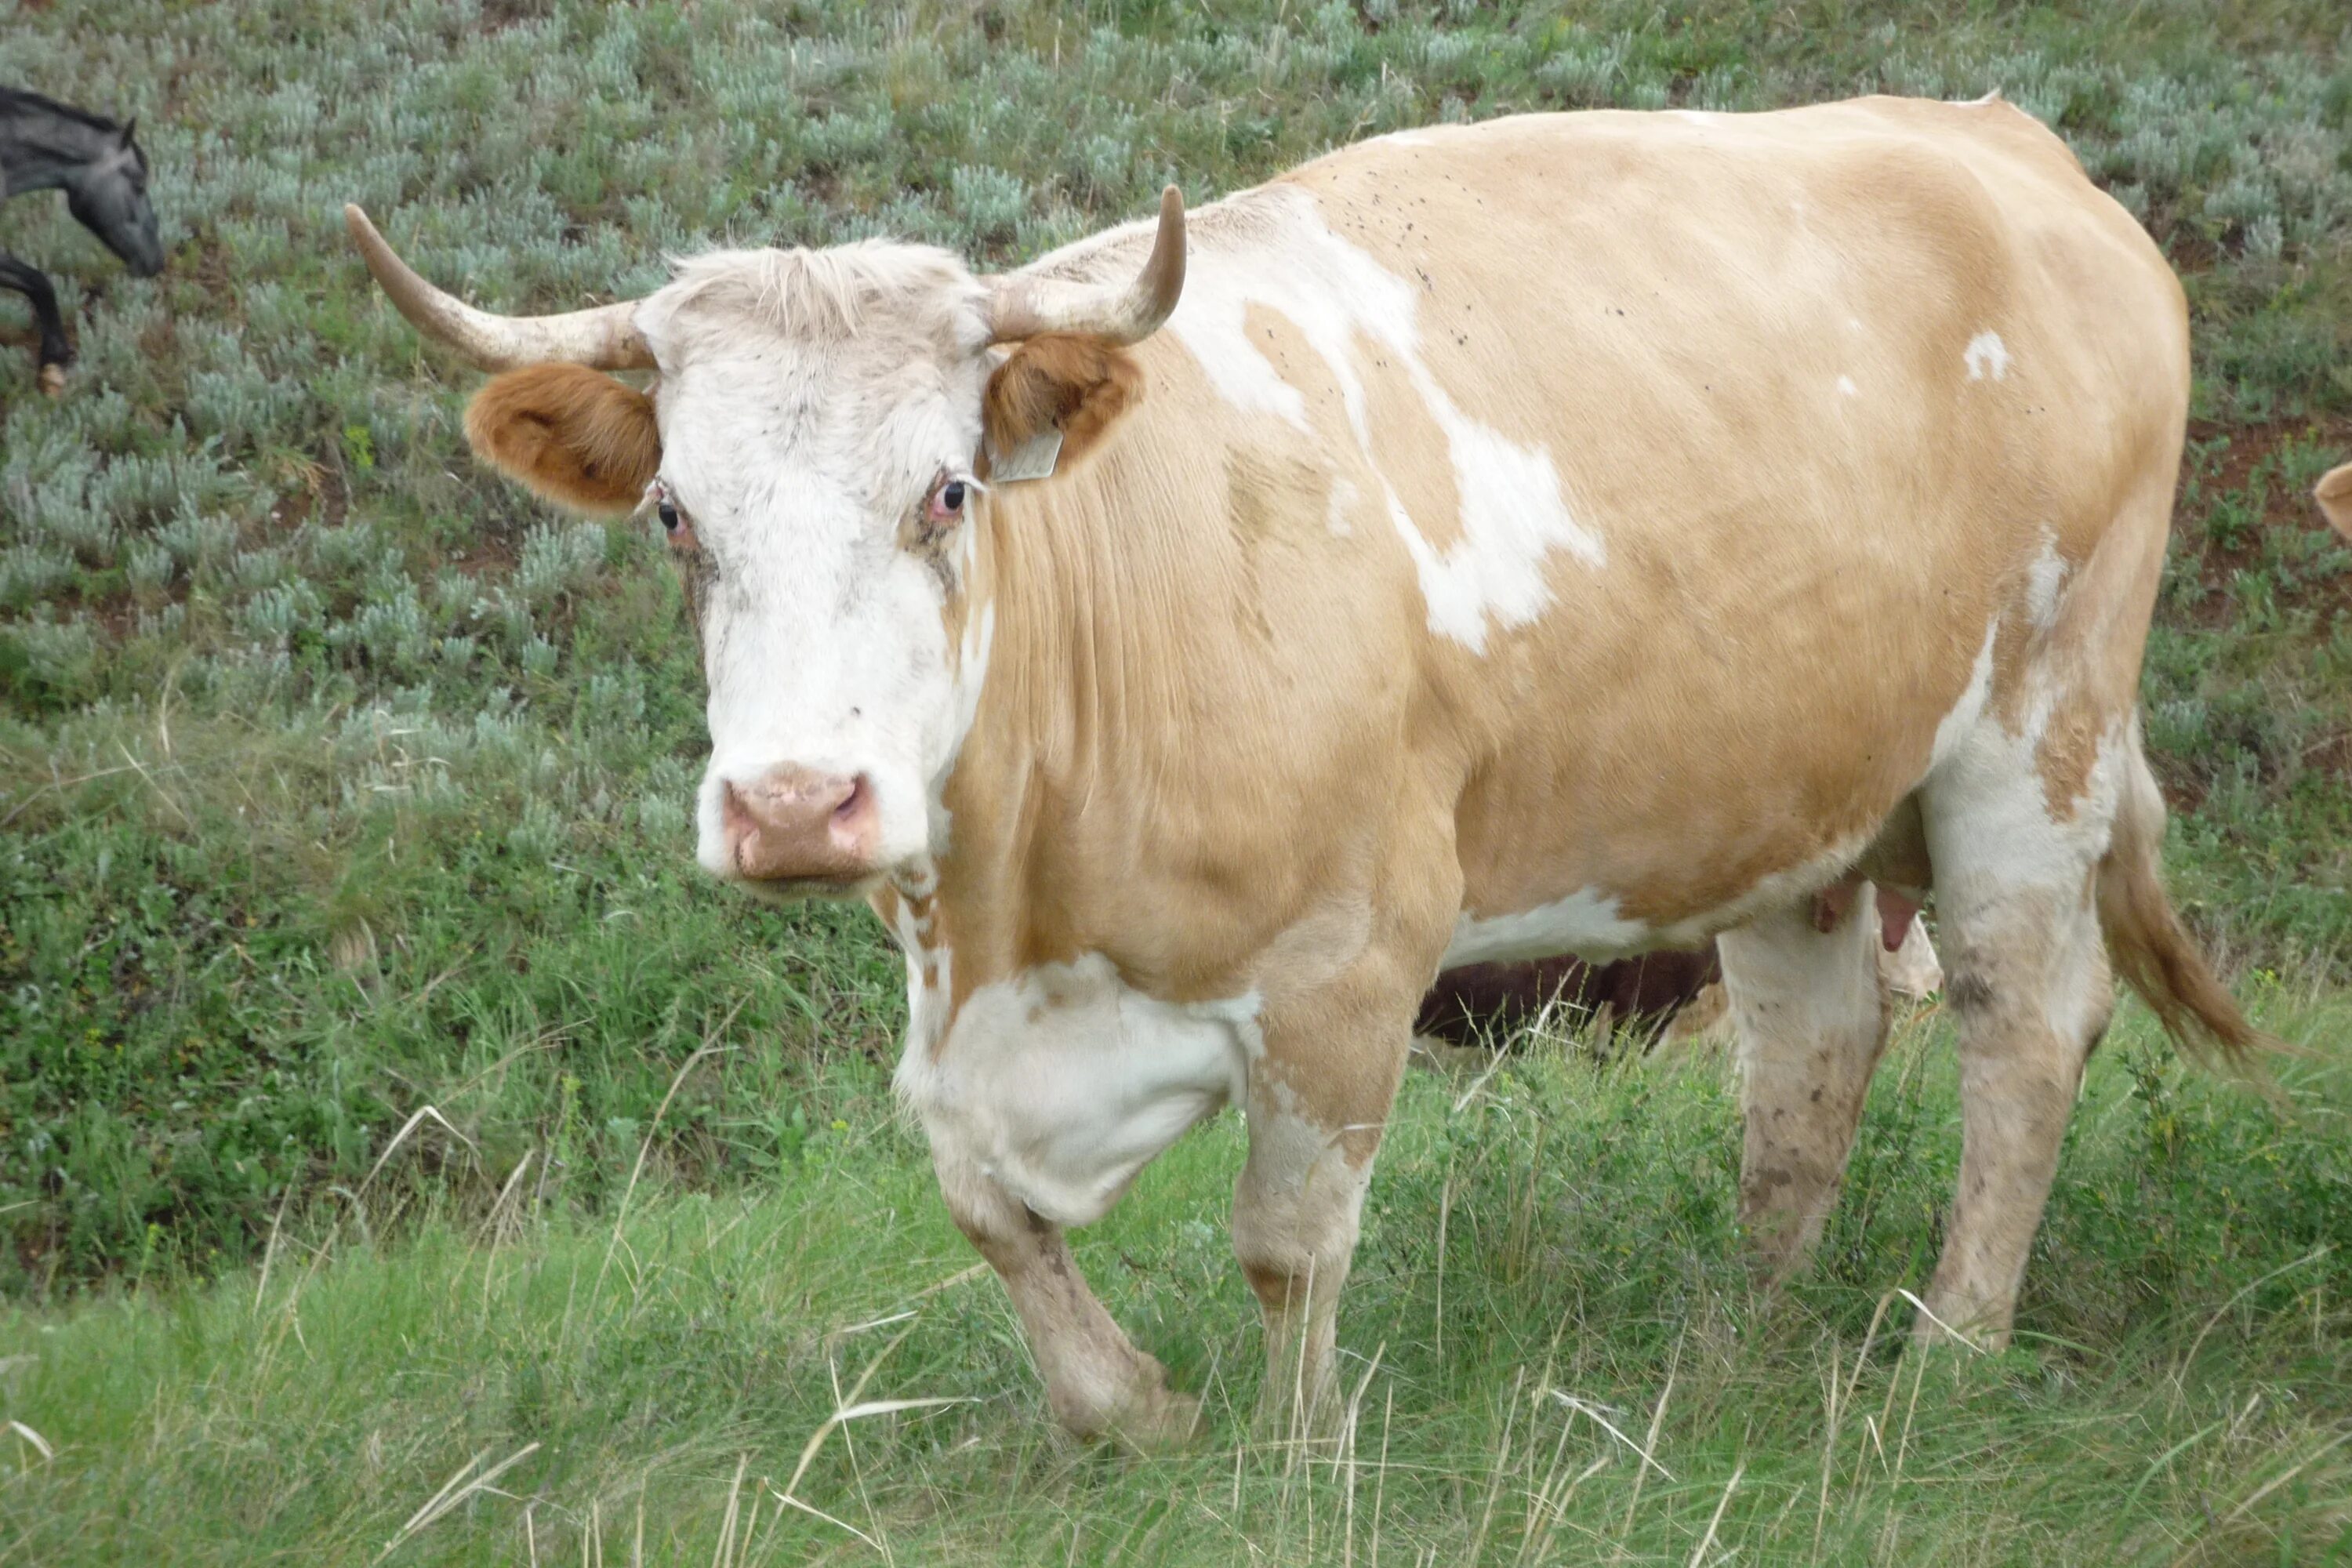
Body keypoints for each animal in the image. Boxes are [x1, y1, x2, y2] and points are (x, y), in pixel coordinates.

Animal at [341, 95, 2267, 1448]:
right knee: (1811, 1060)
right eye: (677, 513)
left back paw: (1947, 1347)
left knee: (2025, 1026)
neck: (1015, 920)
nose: (797, 804)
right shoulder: (967, 1024)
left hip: (2036, 737)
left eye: (947, 491)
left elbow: (1285, 1240)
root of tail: (2007, 145)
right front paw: (1138, 1413)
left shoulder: (1350, 963)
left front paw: (1293, 1454)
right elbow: (982, 1202)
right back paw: (1740, 1341)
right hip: (1786, 796)